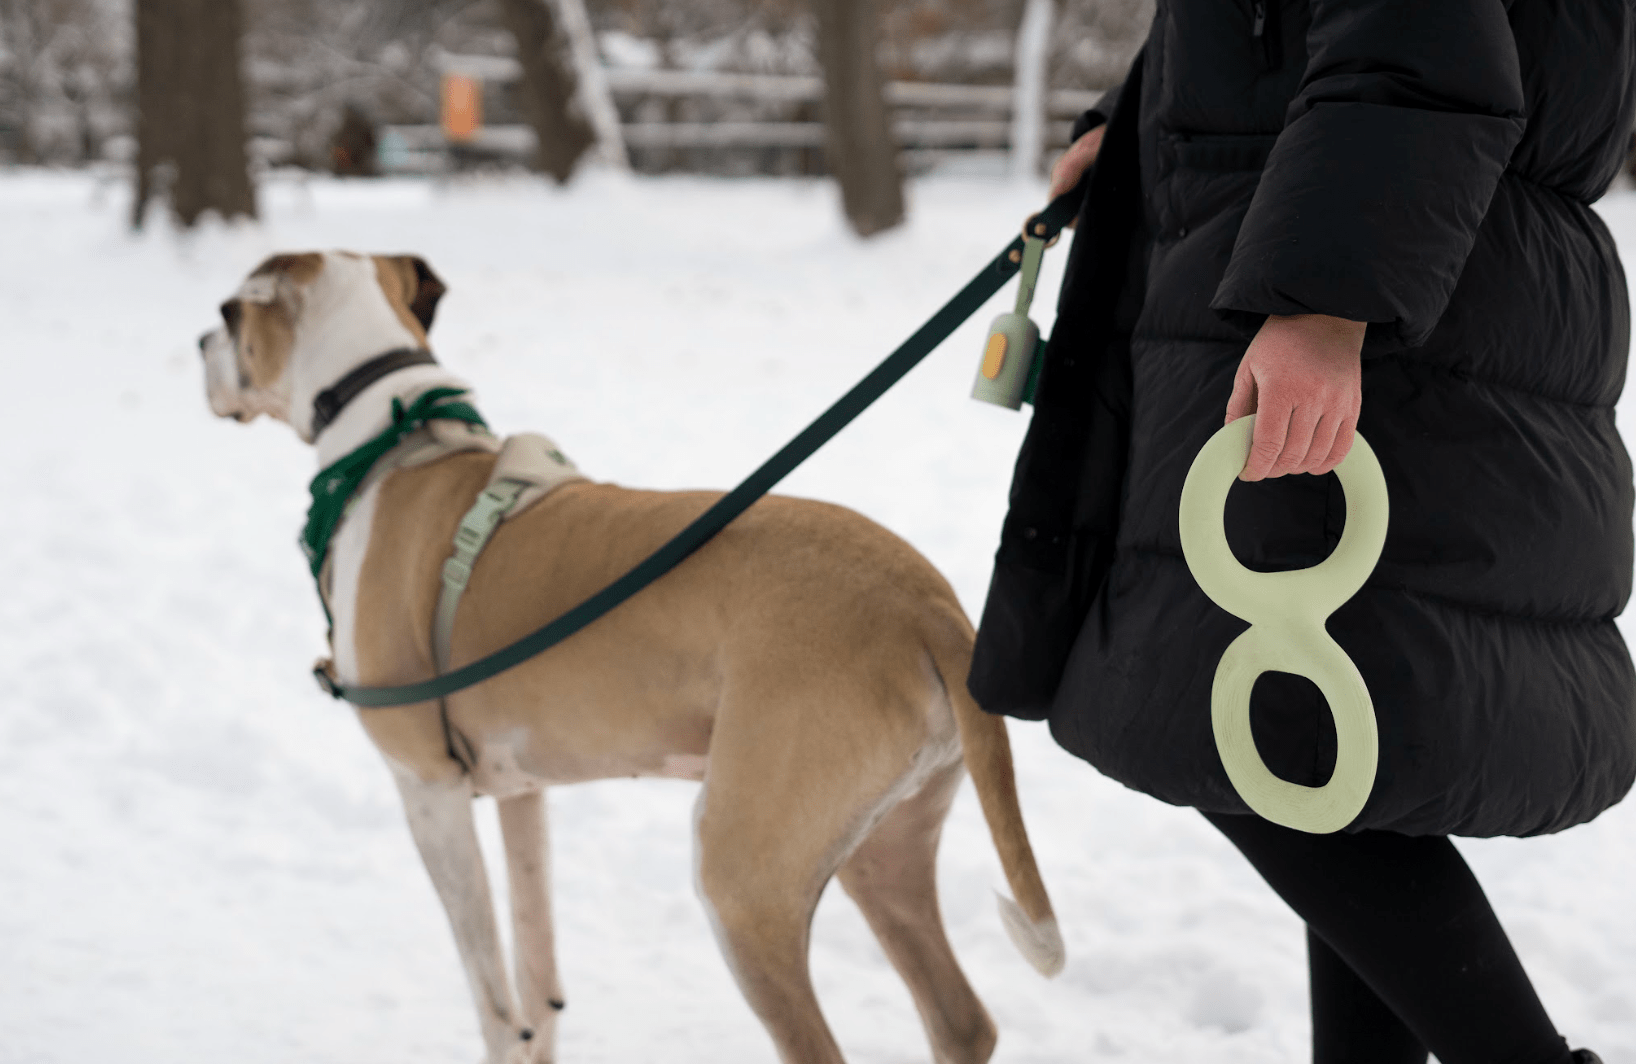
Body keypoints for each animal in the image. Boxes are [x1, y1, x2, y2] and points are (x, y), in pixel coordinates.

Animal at [197, 250, 1060, 1060]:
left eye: (228, 313)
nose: (201, 342)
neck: (391, 440)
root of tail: (929, 609)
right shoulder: (521, 791)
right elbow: (537, 980)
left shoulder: (427, 787)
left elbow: (493, 999)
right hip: (884, 849)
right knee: (960, 1020)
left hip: (743, 879)